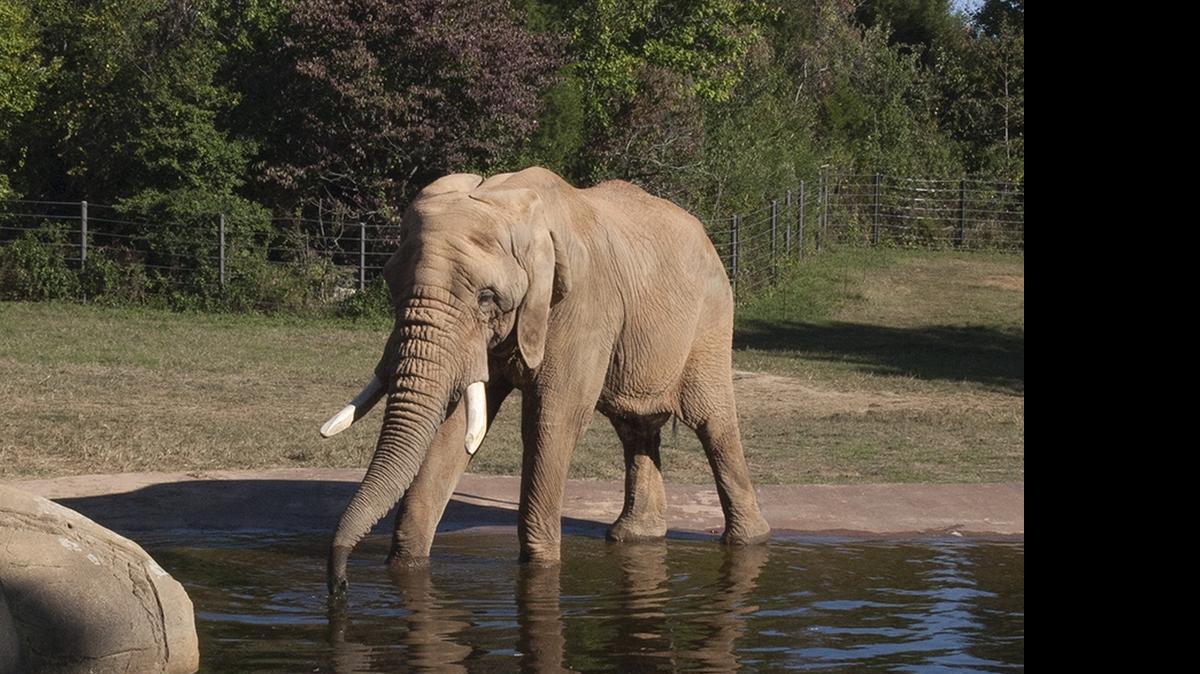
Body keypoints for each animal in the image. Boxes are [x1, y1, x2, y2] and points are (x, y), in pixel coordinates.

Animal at [319, 166, 770, 594]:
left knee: (711, 420)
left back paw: (748, 542)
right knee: (634, 426)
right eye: (391, 283)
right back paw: (634, 538)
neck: (511, 202)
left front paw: (540, 569)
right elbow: (454, 426)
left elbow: (551, 419)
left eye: (487, 297)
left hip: (711, 318)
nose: (340, 584)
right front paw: (406, 567)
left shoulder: (582, 304)